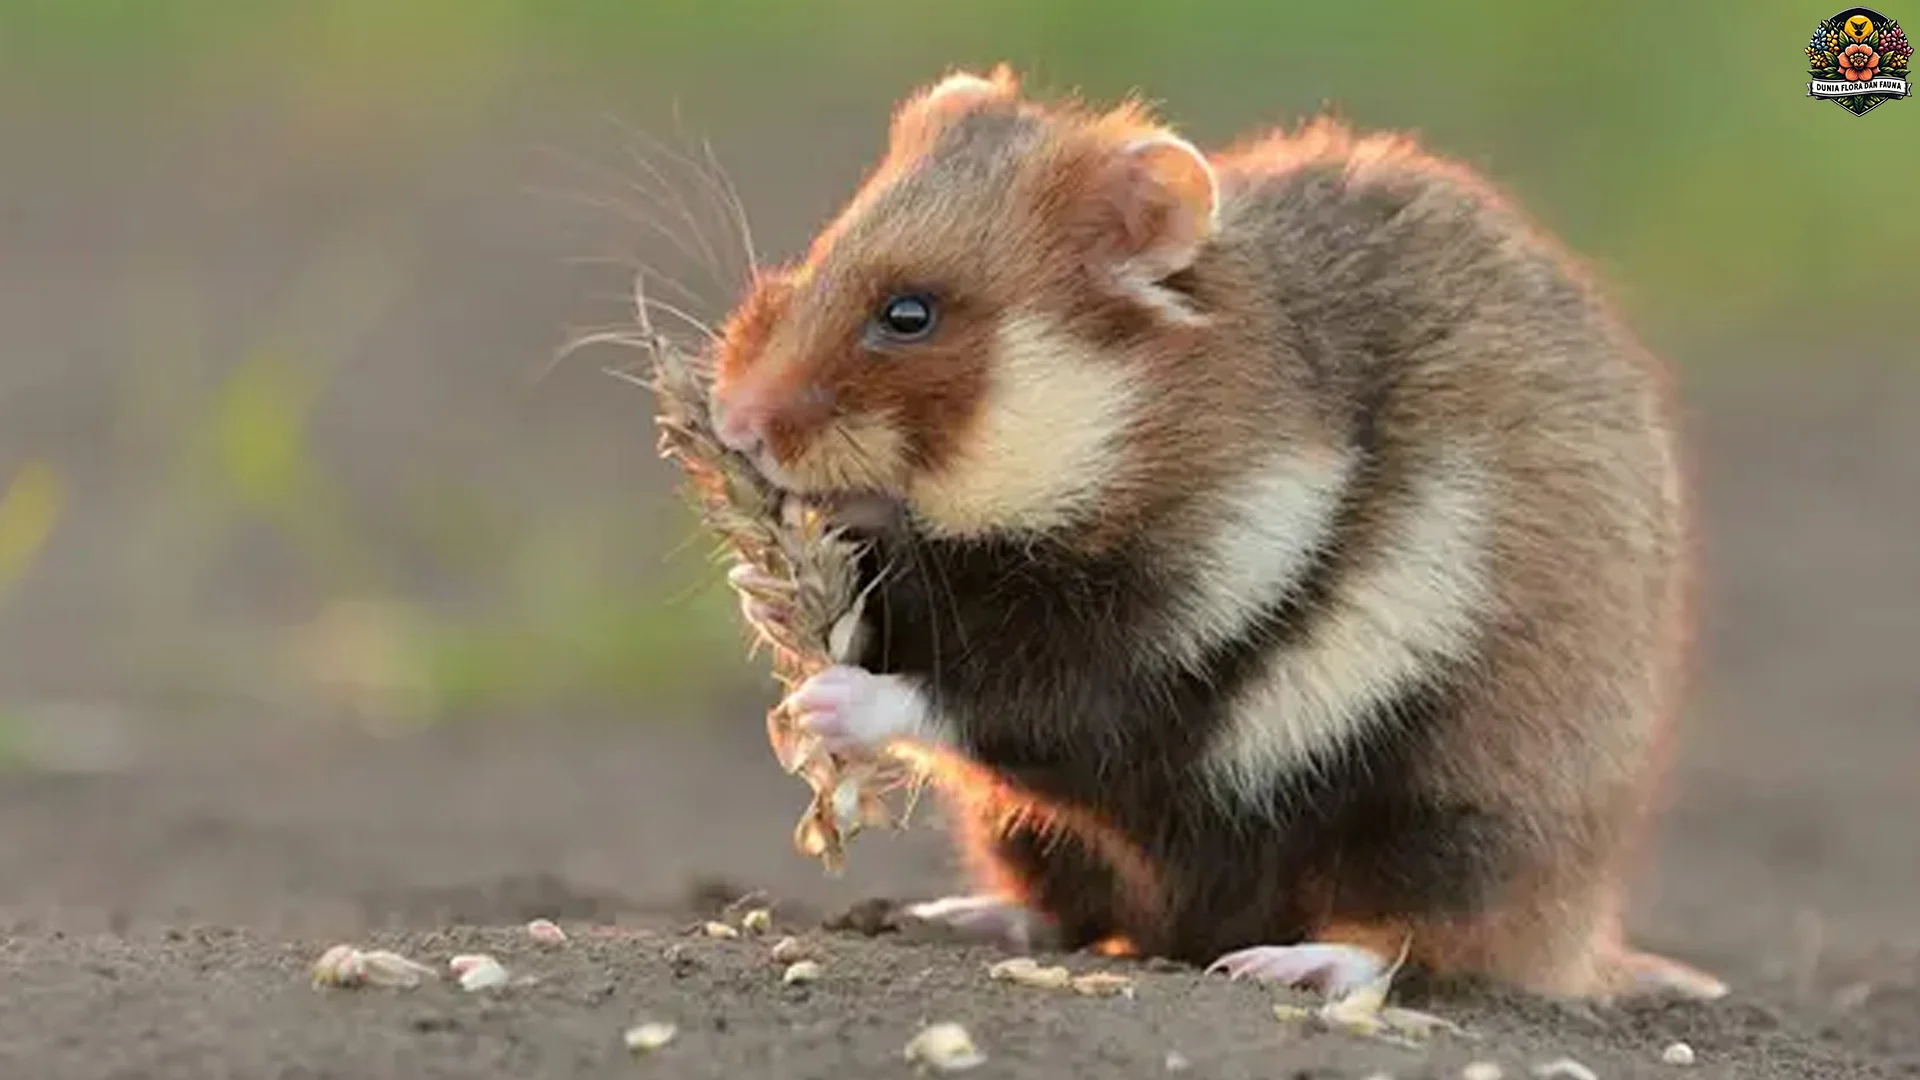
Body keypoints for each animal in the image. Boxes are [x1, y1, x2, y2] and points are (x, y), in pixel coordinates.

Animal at [704, 66, 1727, 1001]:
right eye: (823, 251)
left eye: (909, 314)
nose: (732, 421)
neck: (1112, 443)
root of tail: (1584, 942)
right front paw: (760, 595)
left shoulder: (1179, 628)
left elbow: (1005, 700)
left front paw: (824, 703)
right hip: (1018, 832)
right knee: (1074, 906)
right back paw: (961, 915)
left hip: (1456, 813)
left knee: (1411, 933)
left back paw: (1284, 963)